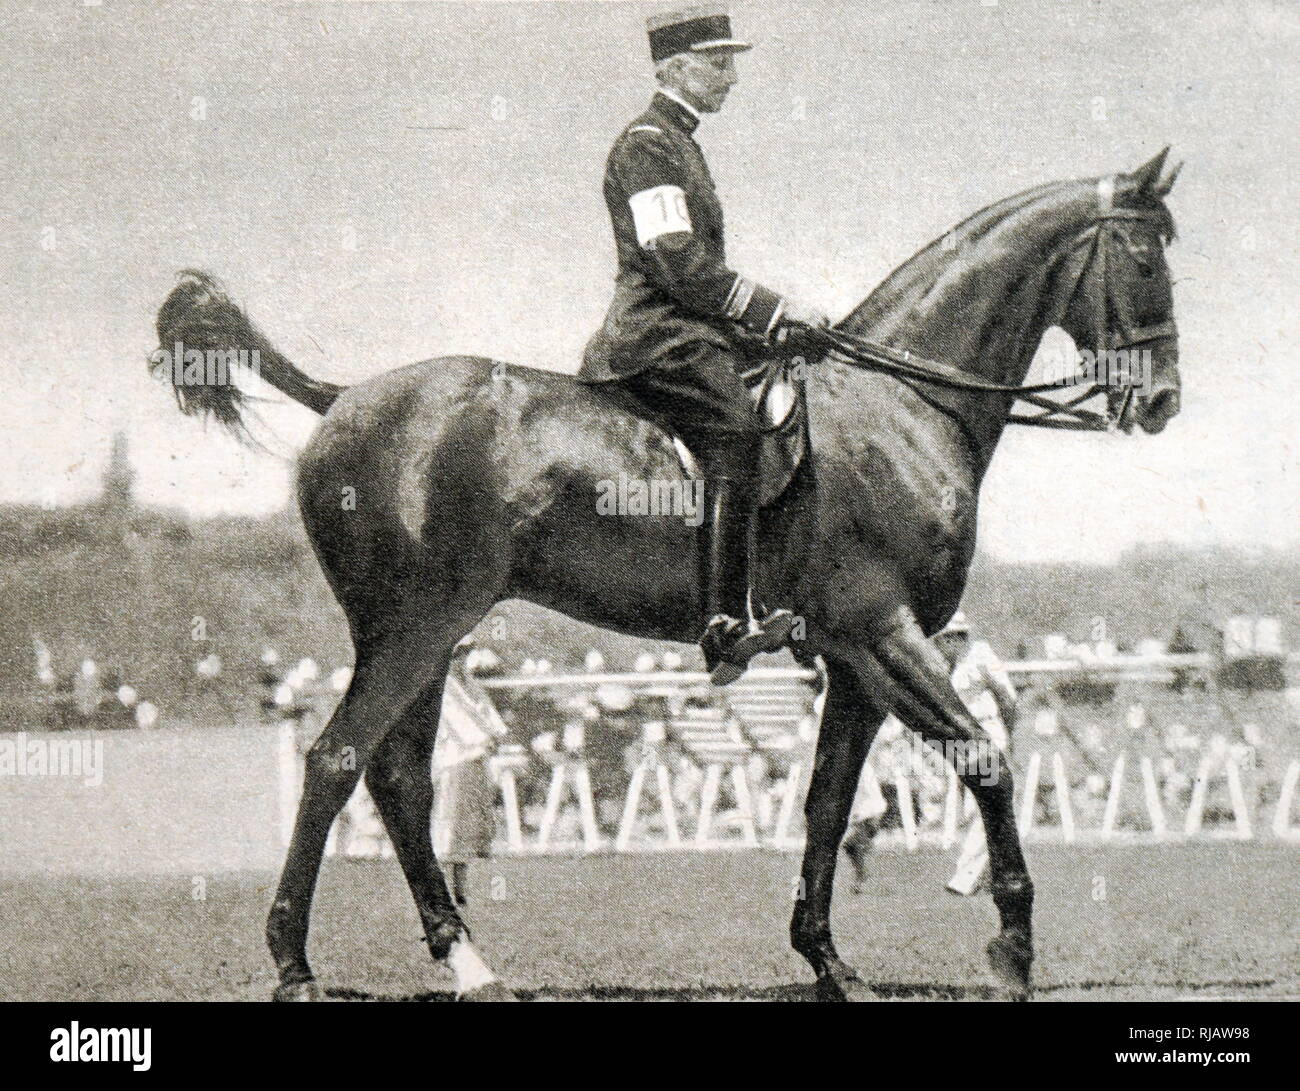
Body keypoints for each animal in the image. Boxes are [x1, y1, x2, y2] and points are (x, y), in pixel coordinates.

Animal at [149, 149, 1180, 1003]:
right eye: (1143, 258)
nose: (1163, 399)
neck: (899, 404)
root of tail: (343, 399)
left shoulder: (852, 661)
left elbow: (828, 801)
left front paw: (828, 959)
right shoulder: (885, 632)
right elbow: (986, 760)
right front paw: (1012, 949)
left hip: (432, 639)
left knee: (400, 778)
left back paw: (469, 960)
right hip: (411, 630)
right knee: (337, 762)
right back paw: (296, 964)